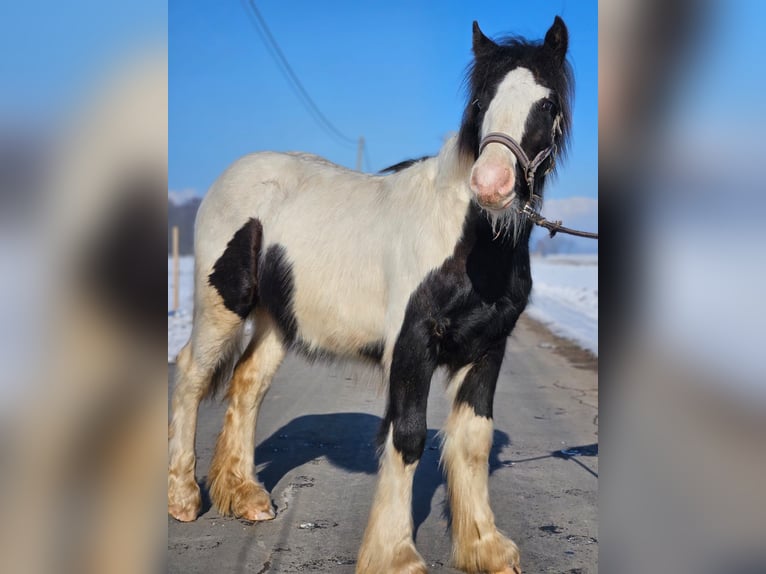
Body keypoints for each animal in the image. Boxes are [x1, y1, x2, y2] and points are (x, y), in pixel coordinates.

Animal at [170, 16, 576, 574]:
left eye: (547, 104)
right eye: (481, 102)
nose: (491, 184)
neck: (471, 242)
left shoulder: (488, 348)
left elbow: (473, 441)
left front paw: (486, 548)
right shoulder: (412, 345)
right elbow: (406, 437)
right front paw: (396, 554)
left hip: (278, 319)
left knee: (248, 384)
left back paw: (245, 495)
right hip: (222, 306)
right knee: (192, 375)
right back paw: (184, 498)